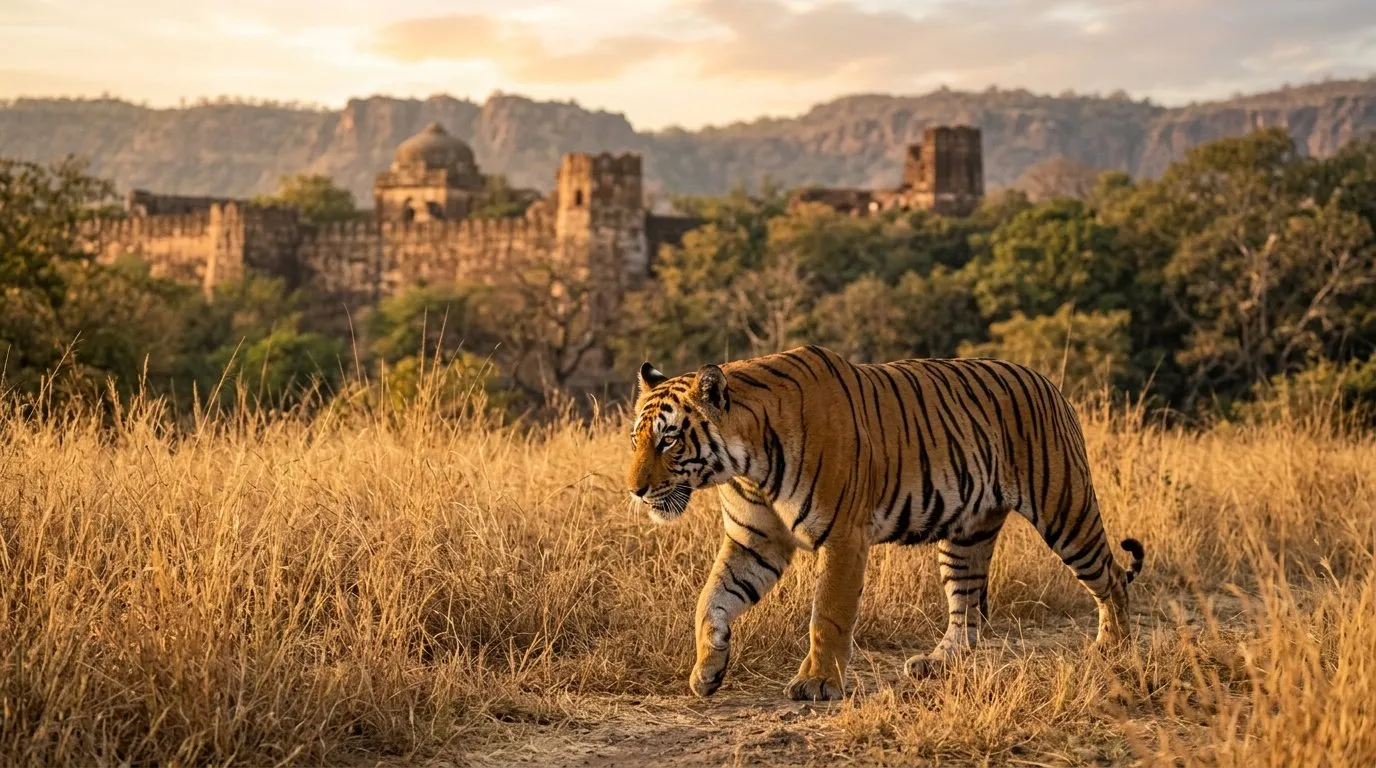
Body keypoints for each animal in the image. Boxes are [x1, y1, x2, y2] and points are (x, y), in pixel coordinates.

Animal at [624, 345, 1144, 702]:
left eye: (669, 440)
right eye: (636, 438)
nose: (634, 490)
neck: (745, 465)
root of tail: (1047, 381)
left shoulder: (842, 538)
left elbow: (828, 614)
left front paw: (817, 683)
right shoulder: (755, 542)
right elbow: (711, 599)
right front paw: (707, 670)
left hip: (1065, 509)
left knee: (1112, 576)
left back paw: (1112, 649)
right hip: (965, 536)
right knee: (968, 610)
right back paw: (937, 664)